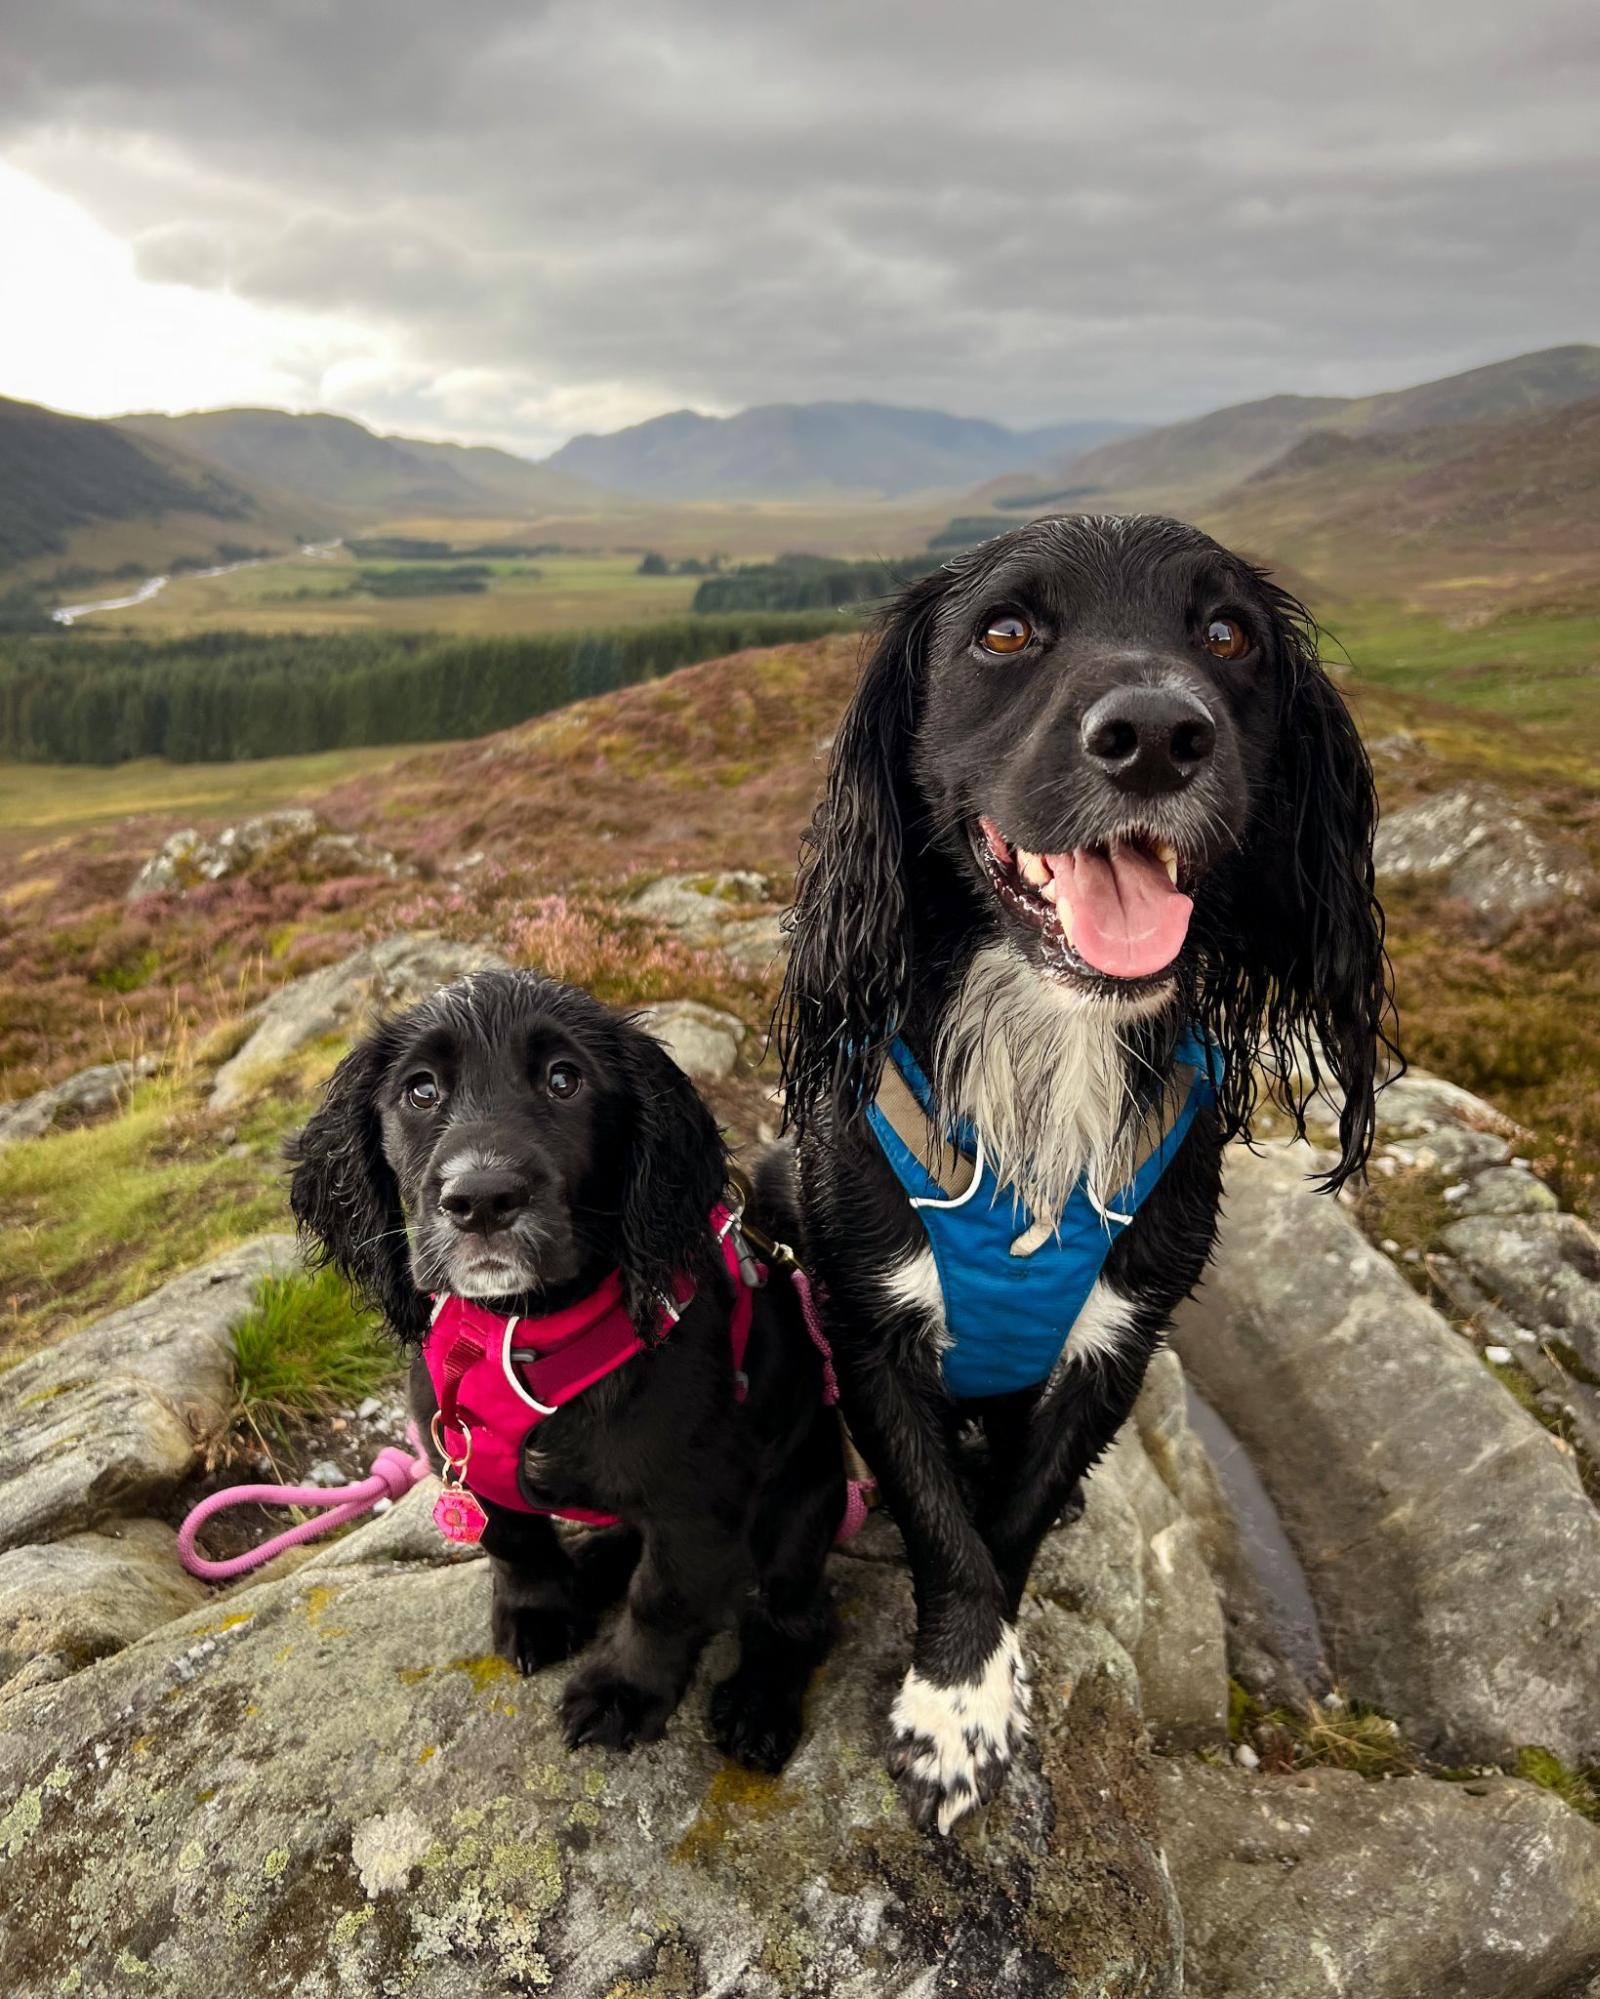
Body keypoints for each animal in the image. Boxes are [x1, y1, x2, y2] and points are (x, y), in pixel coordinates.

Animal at [290, 967, 844, 1767]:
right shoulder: (460, 1455)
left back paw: (758, 1703)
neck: (522, 1329)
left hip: (803, 1501)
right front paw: (540, 1612)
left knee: (796, 1614)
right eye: (421, 1090)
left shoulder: (700, 1500)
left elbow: (664, 1598)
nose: (482, 1200)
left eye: (564, 1080)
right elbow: (513, 1540)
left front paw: (623, 1692)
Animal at [772, 511, 1384, 1831]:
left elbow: (1009, 1521)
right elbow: (940, 1519)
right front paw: (954, 1704)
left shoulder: (1118, 1335)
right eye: (1005, 631)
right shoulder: (870, 1320)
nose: (1155, 734)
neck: (1050, 1029)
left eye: (1227, 634)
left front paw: (981, 1690)